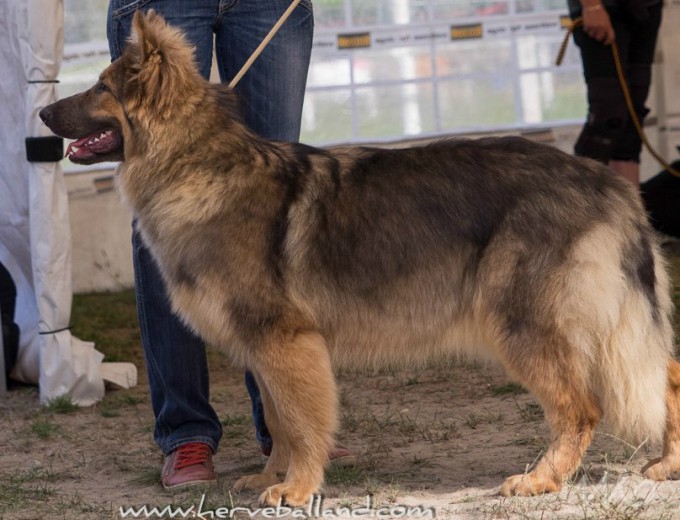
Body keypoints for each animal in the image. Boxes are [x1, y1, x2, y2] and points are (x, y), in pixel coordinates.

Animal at [42, 10, 680, 506]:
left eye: (100, 87)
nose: (43, 117)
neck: (195, 164)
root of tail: (609, 184)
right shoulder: (268, 351)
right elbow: (279, 420)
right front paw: (273, 476)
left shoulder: (285, 343)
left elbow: (300, 423)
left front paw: (297, 488)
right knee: (665, 375)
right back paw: (668, 465)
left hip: (522, 326)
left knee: (582, 406)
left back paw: (541, 479)